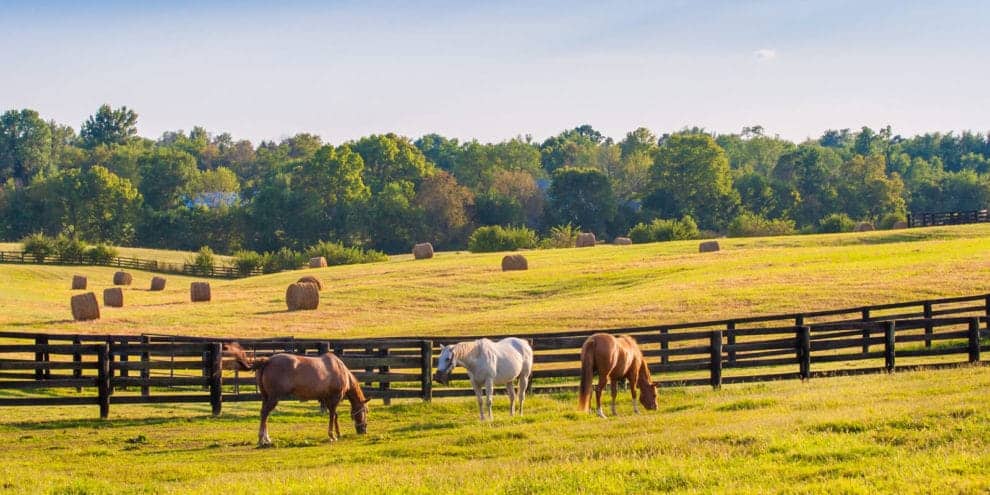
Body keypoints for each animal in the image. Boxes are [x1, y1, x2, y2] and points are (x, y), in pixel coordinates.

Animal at [223, 344, 370, 446]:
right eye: (365, 411)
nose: (363, 430)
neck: (340, 370)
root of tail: (267, 361)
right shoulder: (334, 398)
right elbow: (333, 415)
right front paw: (332, 435)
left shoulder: (327, 399)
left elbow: (335, 416)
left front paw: (338, 433)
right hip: (273, 398)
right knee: (265, 414)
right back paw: (262, 439)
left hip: (266, 397)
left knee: (264, 414)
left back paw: (267, 438)